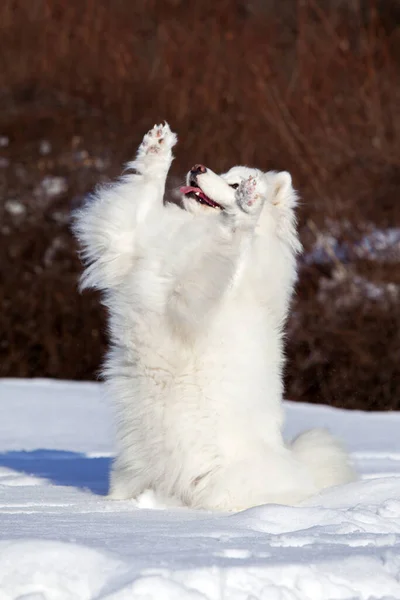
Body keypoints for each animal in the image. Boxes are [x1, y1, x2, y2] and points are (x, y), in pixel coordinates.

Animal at [73, 122, 354, 510]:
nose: (197, 167)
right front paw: (157, 150)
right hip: (130, 468)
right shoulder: (129, 241)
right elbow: (142, 196)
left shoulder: (197, 299)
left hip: (220, 484)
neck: (194, 230)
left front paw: (246, 209)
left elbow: (224, 244)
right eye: (222, 171)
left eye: (235, 183)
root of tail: (301, 475)